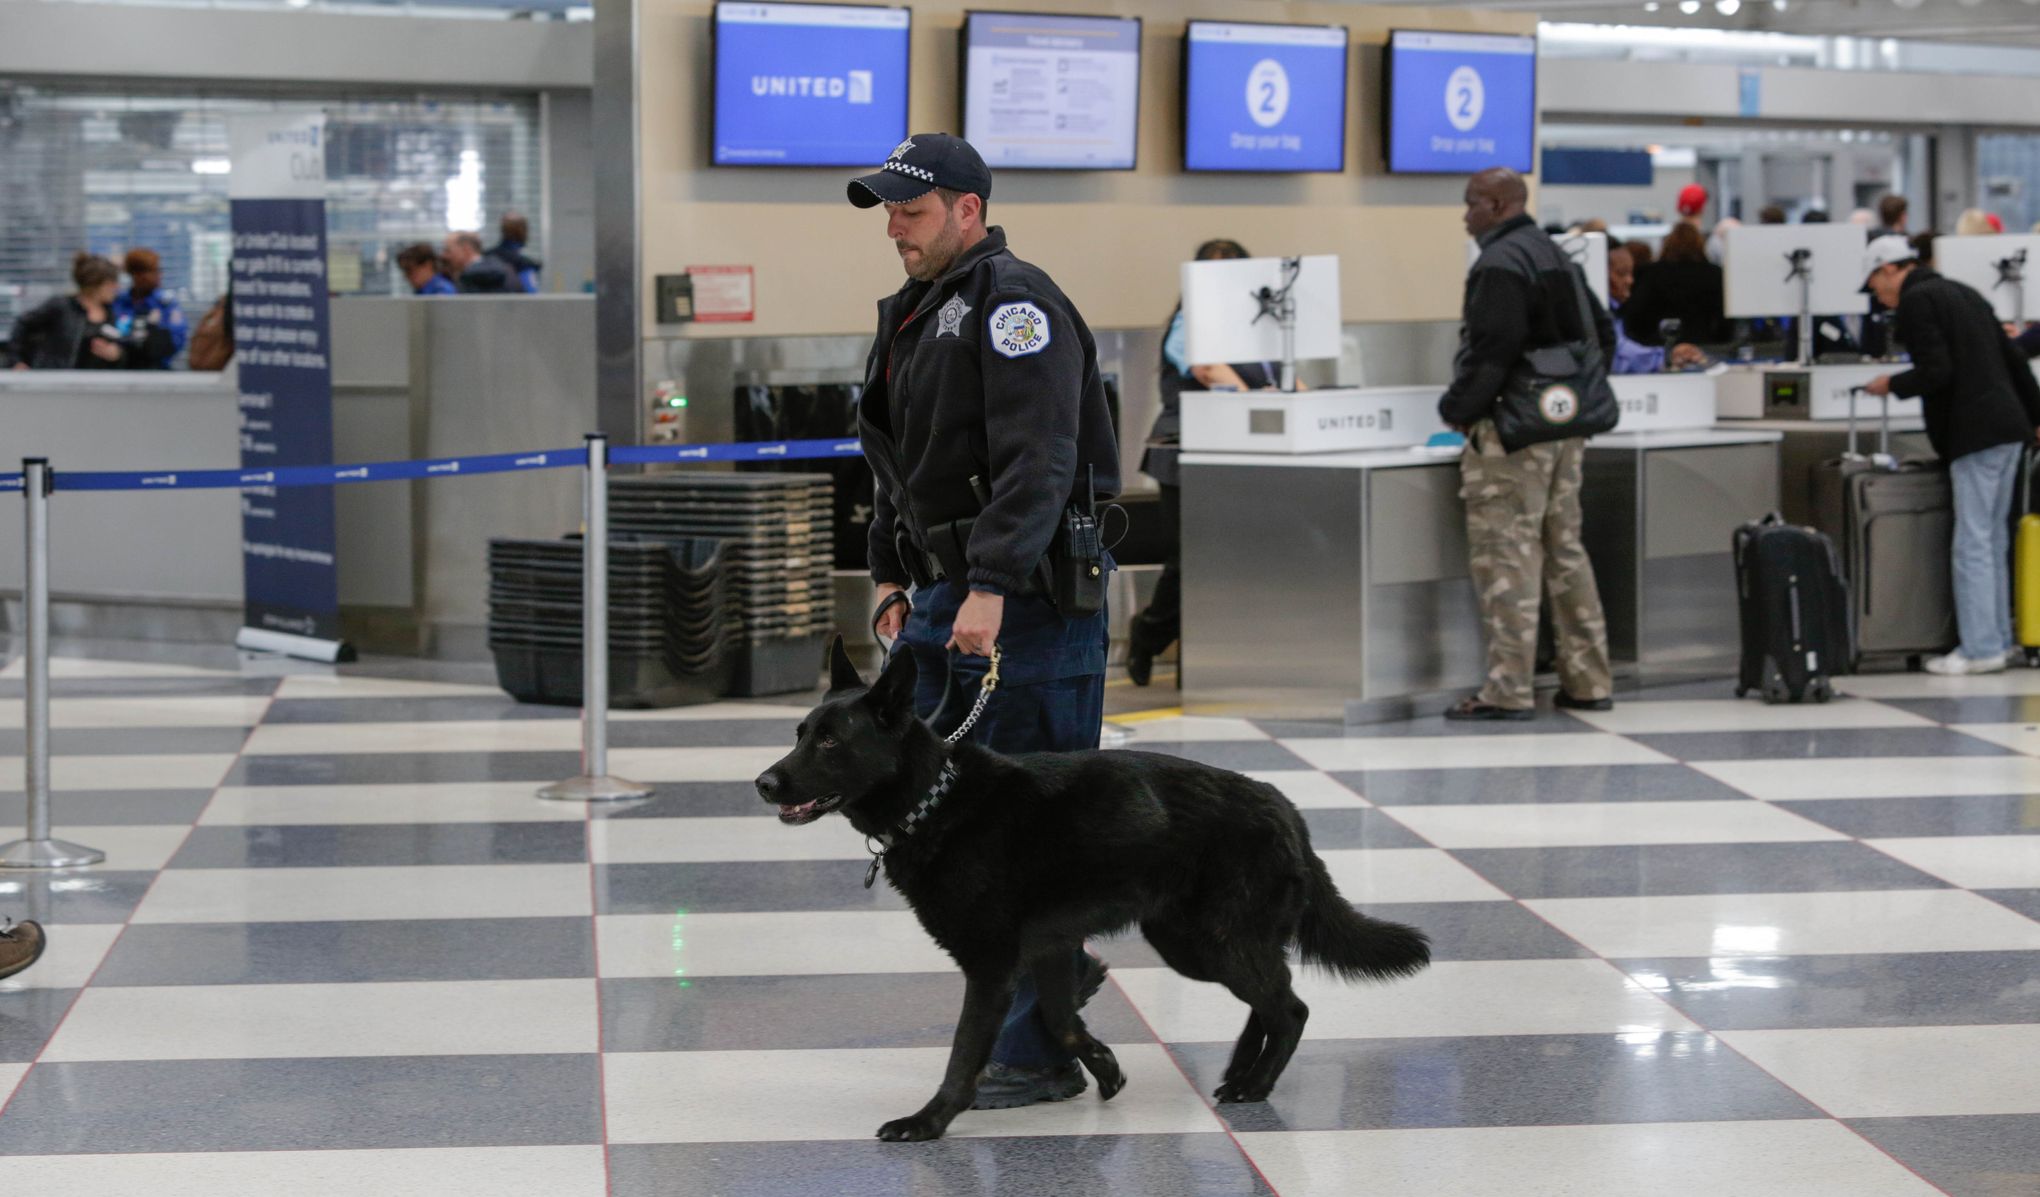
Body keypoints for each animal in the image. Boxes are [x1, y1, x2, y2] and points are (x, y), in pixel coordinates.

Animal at [754, 640, 1436, 1150]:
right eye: (799, 733)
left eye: (831, 741)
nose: (763, 783)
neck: (935, 801)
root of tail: (1285, 807)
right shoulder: (1050, 950)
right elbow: (1061, 1021)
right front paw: (1103, 1064)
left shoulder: (992, 968)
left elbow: (964, 1053)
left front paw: (929, 1121)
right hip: (1194, 948)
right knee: (1270, 997)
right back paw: (1241, 1068)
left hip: (1218, 942)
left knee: (1290, 1008)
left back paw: (1256, 1084)